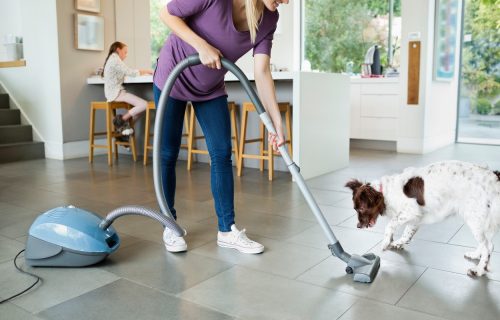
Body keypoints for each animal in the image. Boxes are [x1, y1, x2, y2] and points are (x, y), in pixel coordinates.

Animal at [346, 161, 500, 276]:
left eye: (360, 209)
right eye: (355, 209)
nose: (358, 226)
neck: (386, 192)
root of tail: (494, 178)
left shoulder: (410, 211)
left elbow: (390, 224)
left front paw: (385, 242)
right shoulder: (416, 217)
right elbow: (407, 234)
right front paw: (397, 243)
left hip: (474, 219)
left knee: (487, 247)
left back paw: (479, 270)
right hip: (480, 222)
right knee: (487, 245)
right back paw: (475, 256)